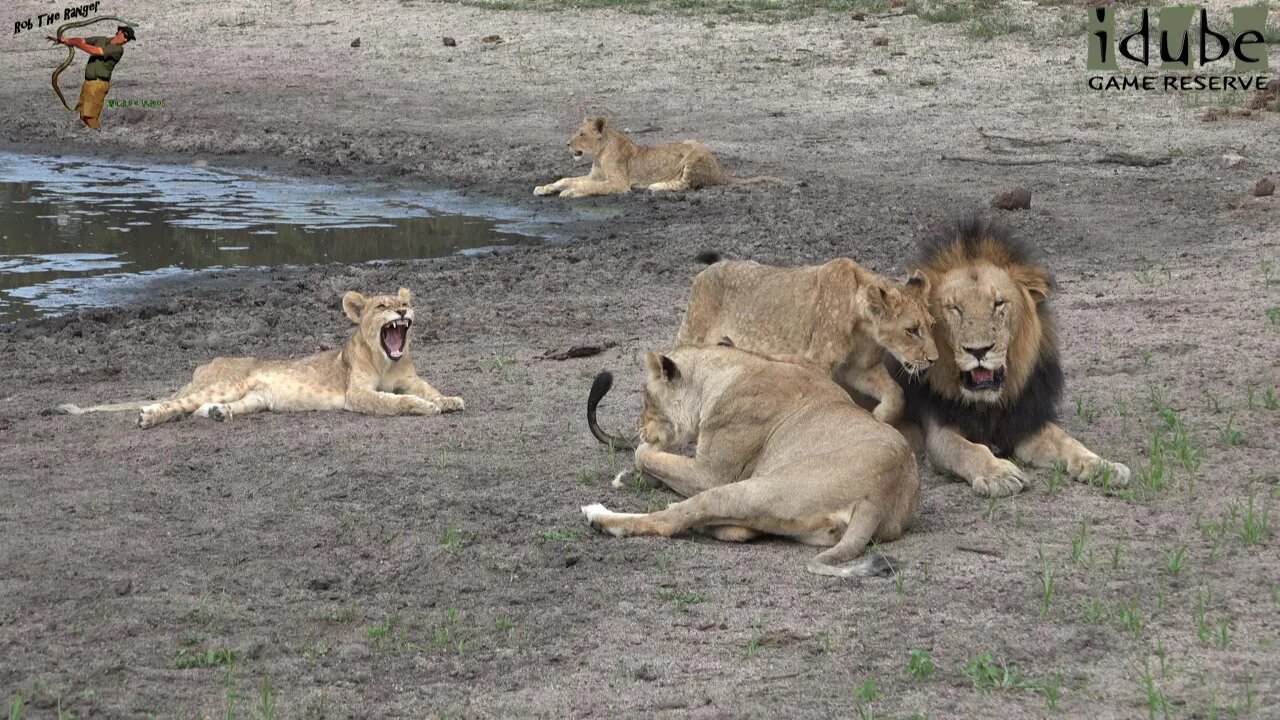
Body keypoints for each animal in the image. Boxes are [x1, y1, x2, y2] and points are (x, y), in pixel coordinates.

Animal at [890, 219, 1131, 497]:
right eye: (955, 308)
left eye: (998, 303)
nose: (979, 351)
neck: (988, 404)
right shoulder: (939, 431)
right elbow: (970, 450)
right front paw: (999, 474)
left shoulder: (1025, 421)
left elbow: (1067, 441)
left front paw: (1104, 466)